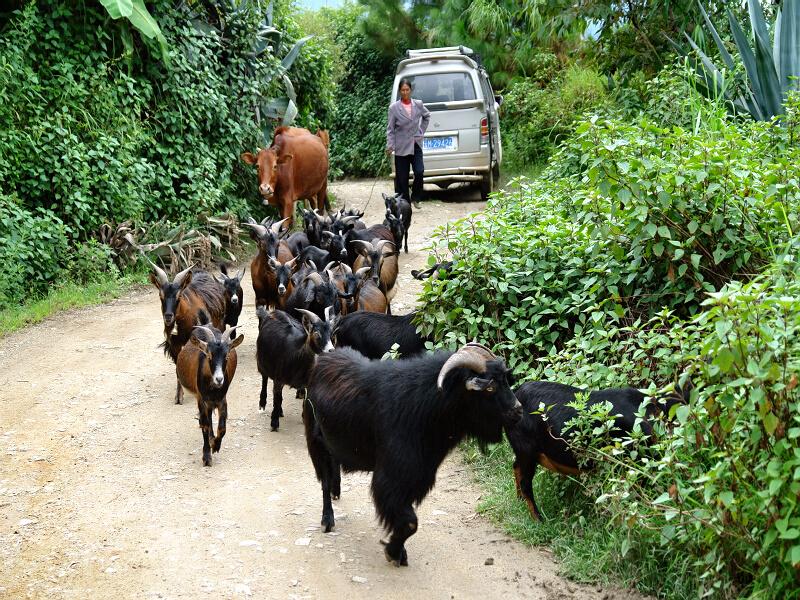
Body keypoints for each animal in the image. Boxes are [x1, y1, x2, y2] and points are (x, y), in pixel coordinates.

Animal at [148, 262, 225, 404]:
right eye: (161, 297)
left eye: (178, 297)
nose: (168, 317)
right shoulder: (174, 344)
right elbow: (178, 365)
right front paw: (178, 396)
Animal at [173, 322, 241, 466]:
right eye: (209, 356)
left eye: (227, 356)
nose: (219, 379)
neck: (213, 389)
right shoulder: (202, 399)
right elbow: (205, 425)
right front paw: (207, 457)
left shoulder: (222, 400)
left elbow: (222, 427)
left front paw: (215, 445)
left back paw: (212, 437)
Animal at [253, 304, 334, 432]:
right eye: (317, 335)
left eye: (331, 334)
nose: (331, 350)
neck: (296, 355)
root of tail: (270, 314)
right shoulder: (278, 378)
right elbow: (276, 398)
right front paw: (274, 423)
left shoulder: (307, 384)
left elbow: (304, 401)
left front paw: (304, 418)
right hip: (261, 362)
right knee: (264, 379)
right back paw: (262, 404)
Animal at [304, 342, 520, 568]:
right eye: (490, 388)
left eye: (505, 380)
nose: (518, 411)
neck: (422, 405)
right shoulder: (391, 479)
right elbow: (409, 522)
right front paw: (393, 551)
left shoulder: (414, 477)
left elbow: (406, 520)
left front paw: (400, 551)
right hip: (315, 441)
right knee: (324, 480)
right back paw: (327, 520)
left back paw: (336, 491)